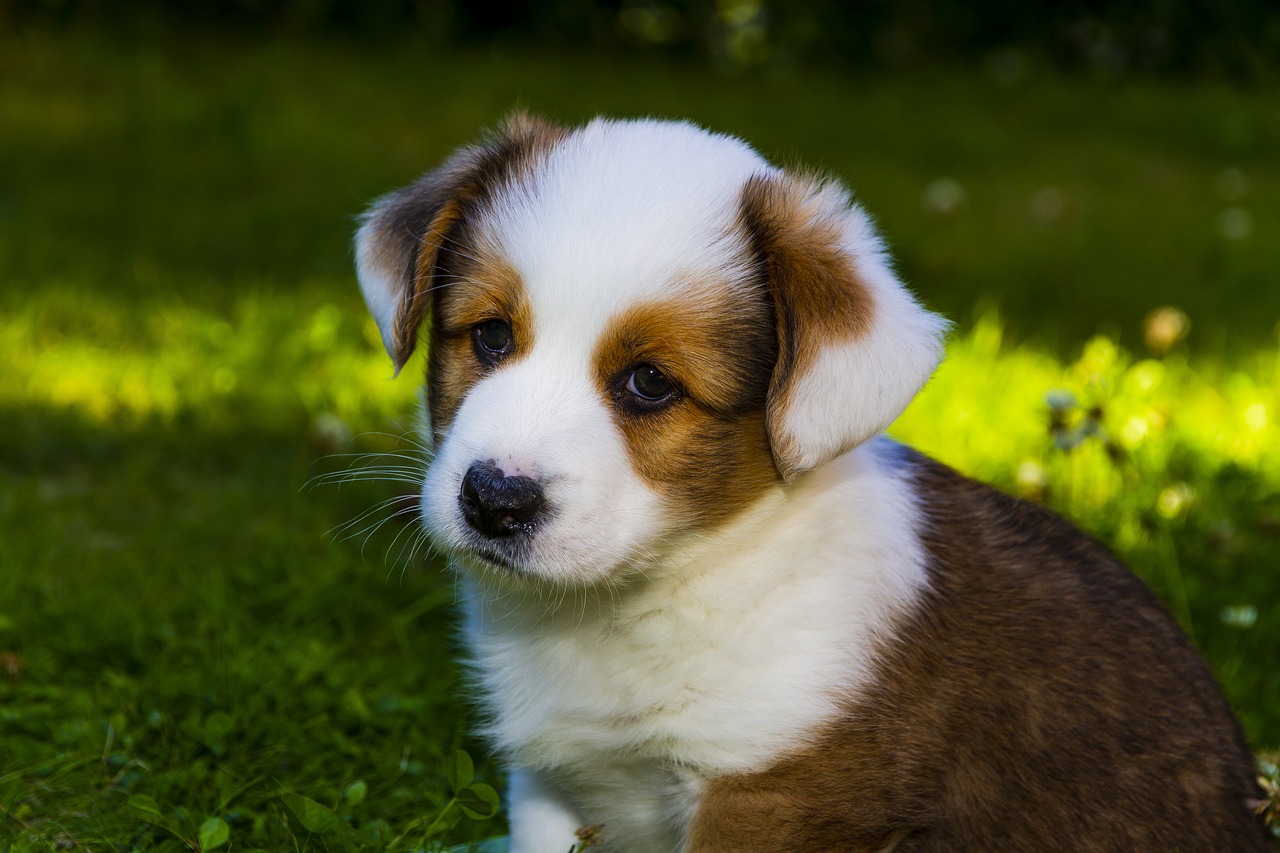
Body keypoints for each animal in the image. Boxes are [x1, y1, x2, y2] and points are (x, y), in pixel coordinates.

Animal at [353, 114, 1269, 850]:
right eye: (491, 336)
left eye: (650, 382)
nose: (493, 501)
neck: (653, 594)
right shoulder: (554, 787)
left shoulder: (770, 795)